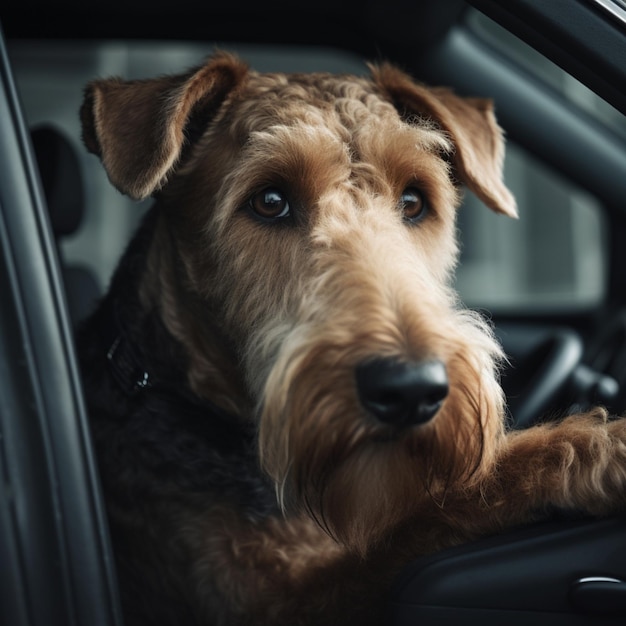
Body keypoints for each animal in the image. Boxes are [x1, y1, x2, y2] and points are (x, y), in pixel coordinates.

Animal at [77, 51, 624, 620]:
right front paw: (601, 448)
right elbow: (436, 510)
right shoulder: (273, 600)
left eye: (413, 201)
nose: (410, 390)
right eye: (269, 200)